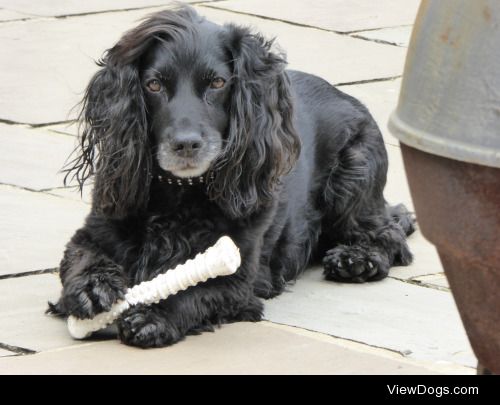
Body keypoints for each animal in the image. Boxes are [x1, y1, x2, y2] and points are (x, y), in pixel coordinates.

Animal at [47, 5, 414, 348]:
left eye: (218, 83)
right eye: (153, 84)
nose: (186, 144)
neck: (179, 196)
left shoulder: (239, 274)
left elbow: (193, 289)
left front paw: (154, 316)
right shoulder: (96, 230)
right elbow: (81, 258)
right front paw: (91, 287)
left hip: (354, 174)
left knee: (389, 233)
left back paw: (357, 259)